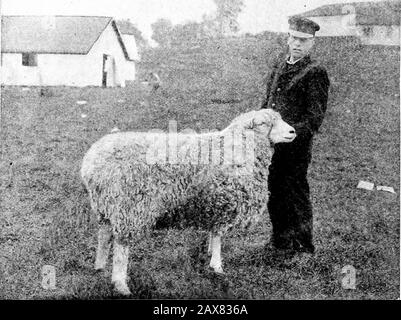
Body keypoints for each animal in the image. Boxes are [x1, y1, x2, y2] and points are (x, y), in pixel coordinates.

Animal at [80, 108, 294, 296]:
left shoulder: (214, 202)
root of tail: (91, 162)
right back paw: (120, 284)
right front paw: (217, 266)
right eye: (264, 123)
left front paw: (209, 254)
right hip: (128, 206)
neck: (238, 147)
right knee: (121, 246)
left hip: (106, 205)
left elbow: (213, 232)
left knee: (104, 236)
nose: (293, 131)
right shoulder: (223, 201)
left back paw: (99, 267)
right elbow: (218, 235)